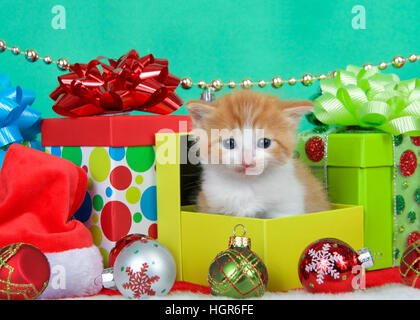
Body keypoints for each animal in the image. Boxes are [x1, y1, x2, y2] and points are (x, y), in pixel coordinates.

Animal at [185, 91, 330, 219]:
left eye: (265, 142)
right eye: (230, 143)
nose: (247, 161)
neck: (246, 186)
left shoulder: (288, 205)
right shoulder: (210, 203)